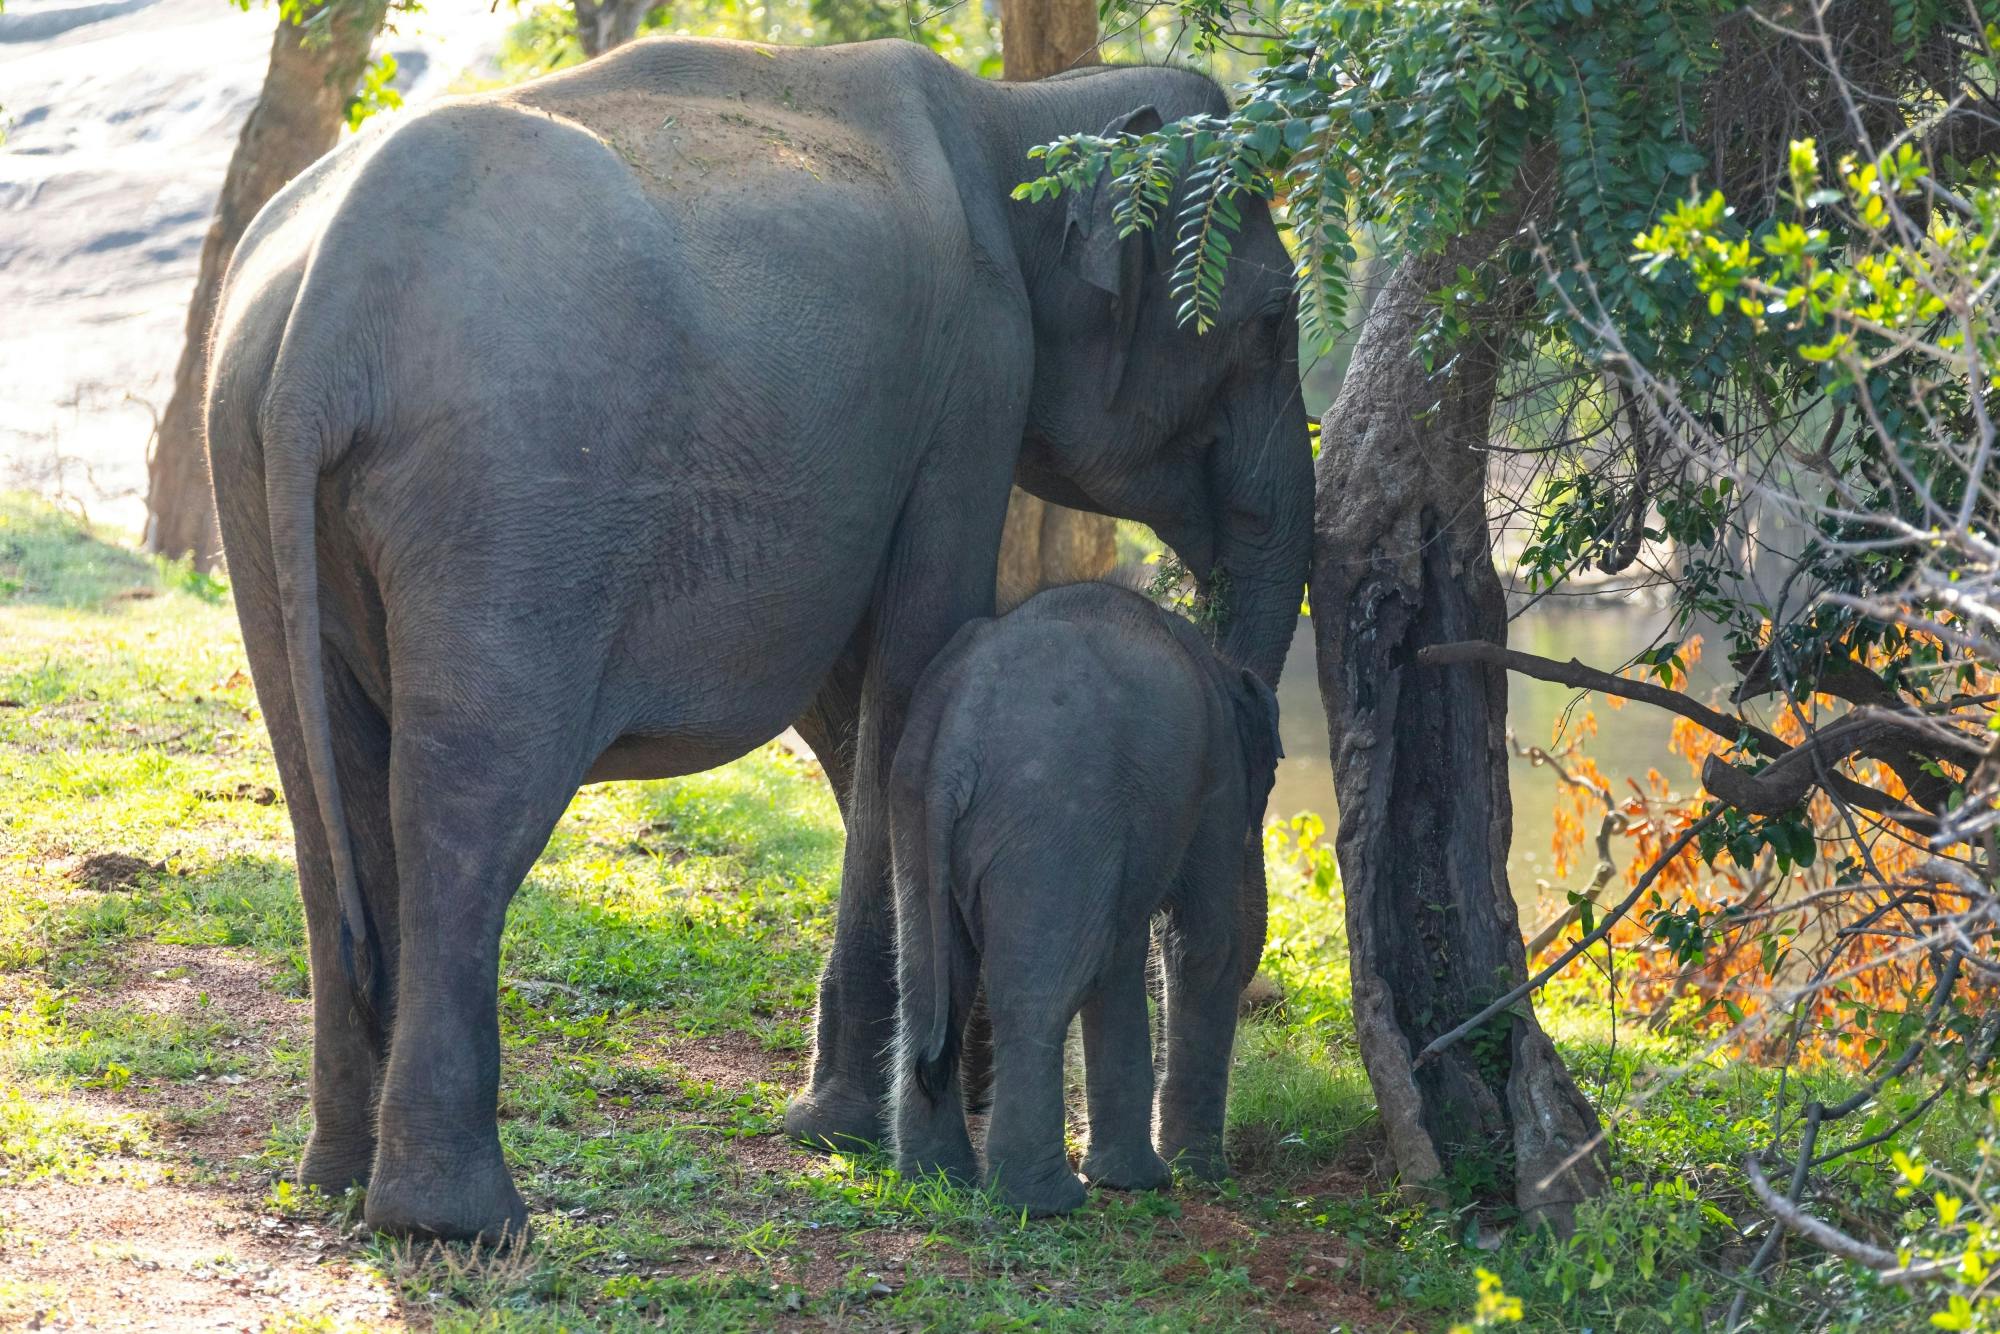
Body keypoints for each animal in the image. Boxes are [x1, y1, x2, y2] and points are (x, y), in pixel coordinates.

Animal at [892, 580, 1280, 1216]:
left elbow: (1123, 956)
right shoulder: (1217, 777)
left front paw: (1133, 1181)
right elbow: (1203, 945)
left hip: (914, 800)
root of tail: (955, 753)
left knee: (928, 987)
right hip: (1051, 817)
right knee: (1043, 992)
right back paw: (1046, 1202)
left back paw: (934, 1180)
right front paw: (1190, 1175)